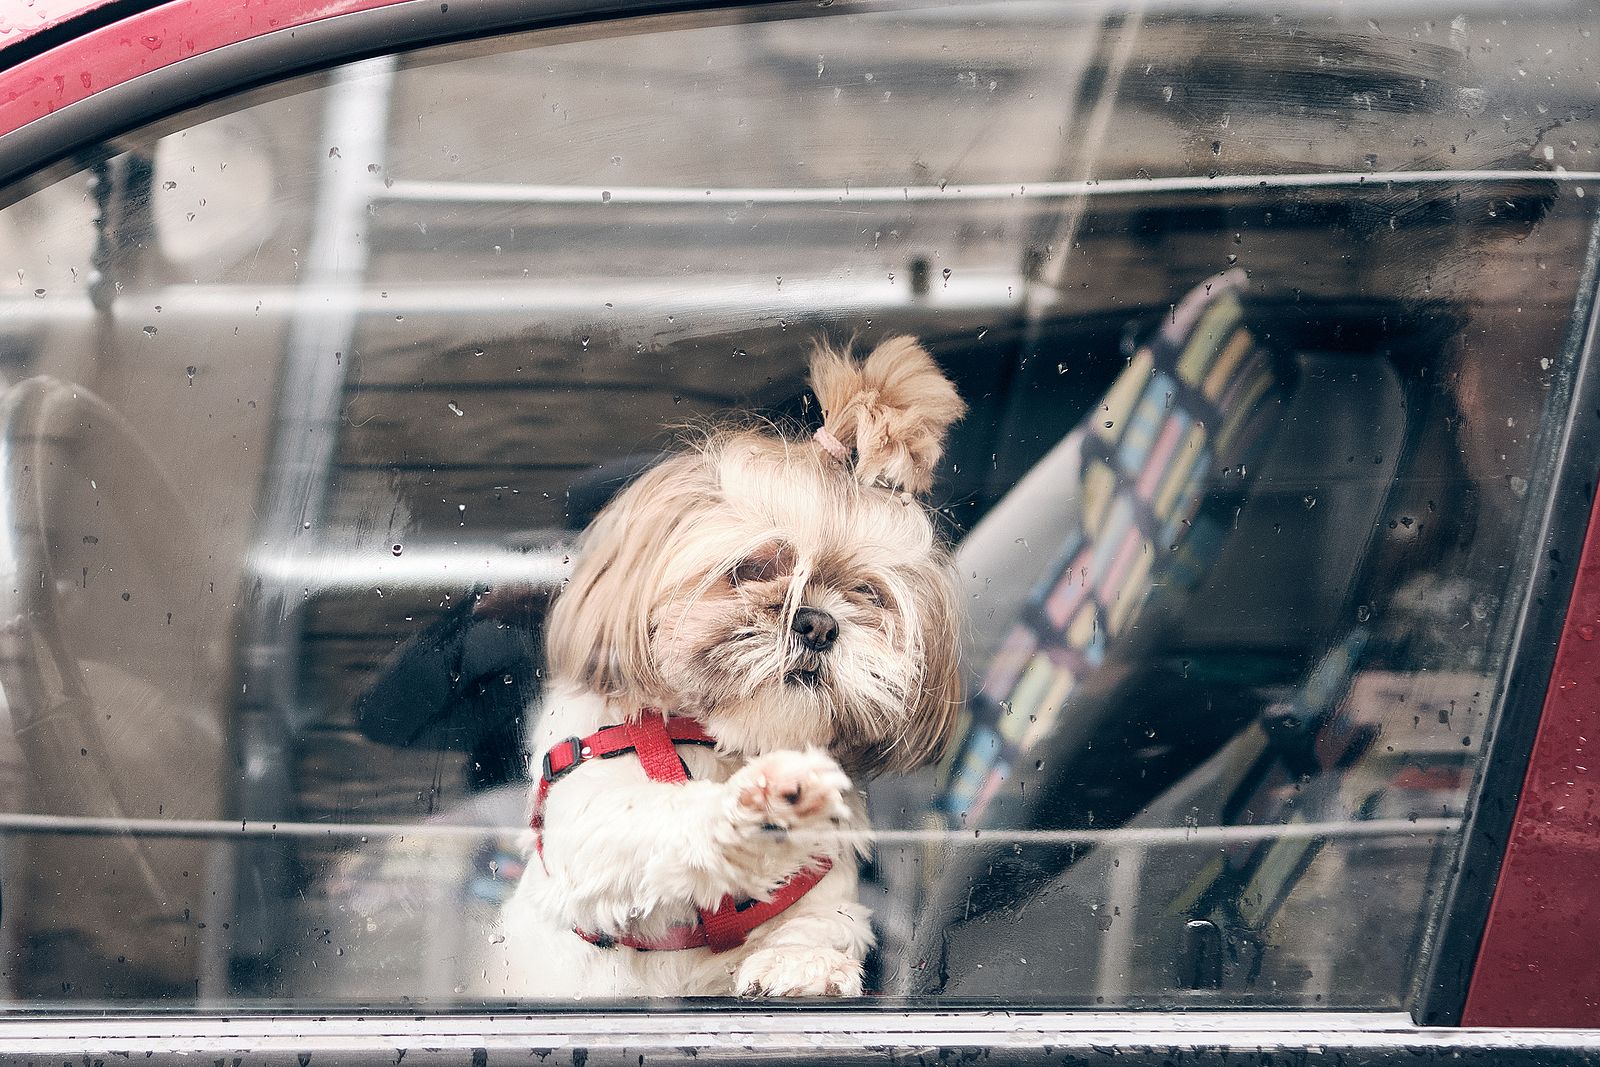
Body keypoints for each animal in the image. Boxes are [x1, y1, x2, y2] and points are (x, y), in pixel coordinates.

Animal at [502, 335, 960, 1004]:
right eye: (750, 569)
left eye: (867, 595)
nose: (818, 623)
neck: (722, 742)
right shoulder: (590, 825)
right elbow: (658, 821)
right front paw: (757, 806)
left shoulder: (827, 882)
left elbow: (824, 920)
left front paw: (802, 962)